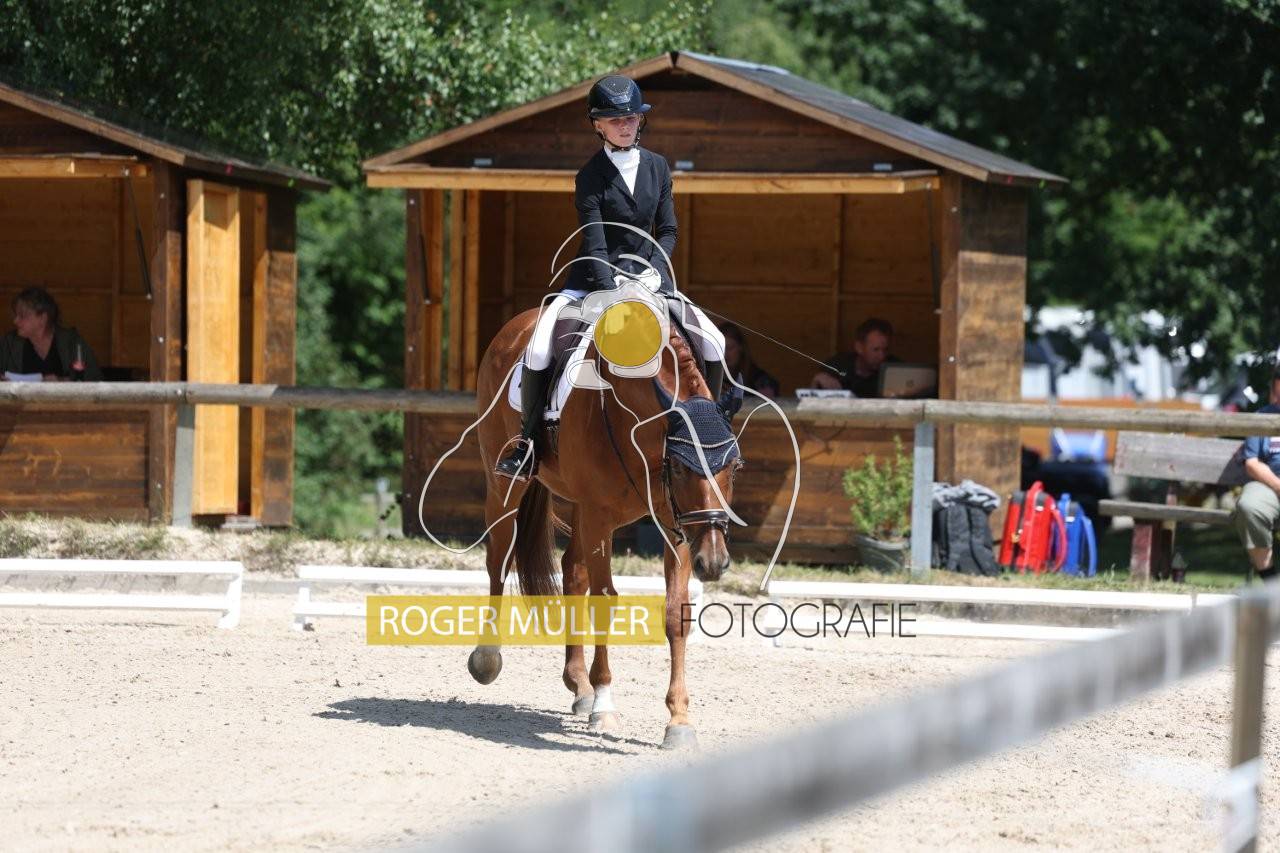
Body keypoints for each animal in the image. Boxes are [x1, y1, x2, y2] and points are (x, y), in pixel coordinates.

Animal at [468, 305, 742, 750]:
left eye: (734, 467)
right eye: (682, 467)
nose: (714, 562)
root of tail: (517, 324)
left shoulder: (676, 523)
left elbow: (675, 613)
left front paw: (678, 719)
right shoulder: (601, 513)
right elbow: (605, 601)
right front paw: (605, 704)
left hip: (583, 509)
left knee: (573, 571)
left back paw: (578, 685)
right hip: (506, 485)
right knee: (499, 560)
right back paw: (488, 659)